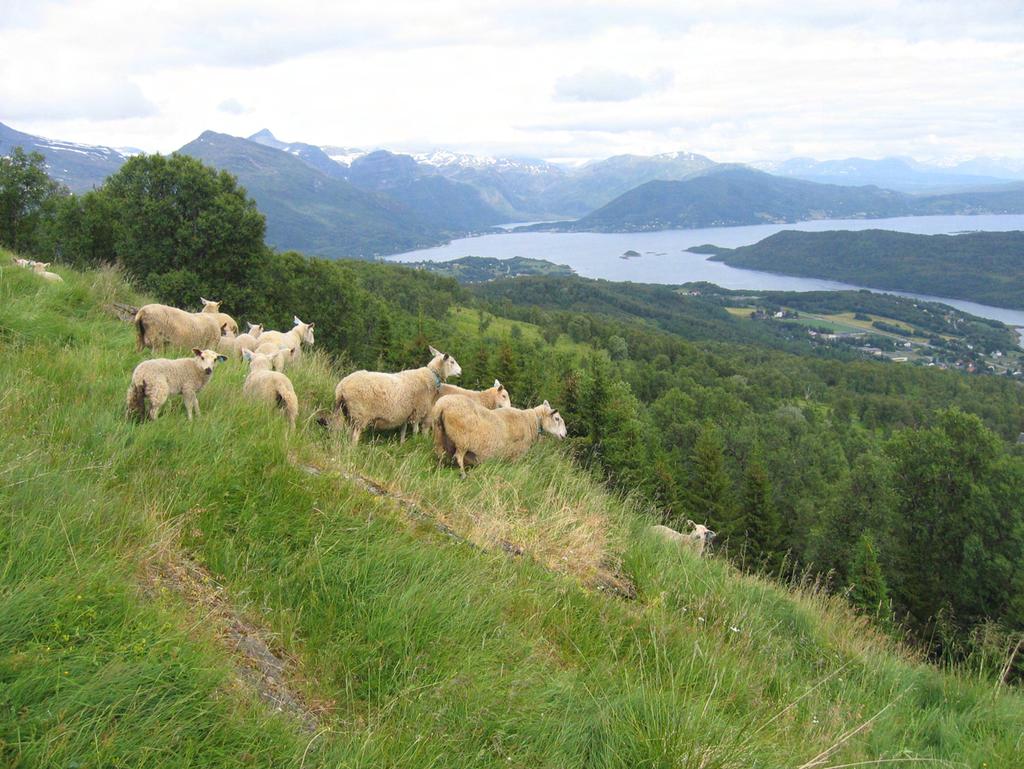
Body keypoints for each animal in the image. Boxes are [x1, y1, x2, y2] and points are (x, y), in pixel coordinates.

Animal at [333, 344, 462, 442]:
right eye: (452, 361)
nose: (461, 371)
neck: (431, 377)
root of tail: (341, 387)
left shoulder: (406, 412)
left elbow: (403, 431)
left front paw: (402, 443)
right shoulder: (417, 410)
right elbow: (415, 430)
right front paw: (415, 441)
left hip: (348, 413)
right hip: (360, 414)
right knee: (354, 436)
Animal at [428, 397, 565, 475]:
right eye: (557, 418)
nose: (565, 434)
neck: (532, 422)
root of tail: (441, 406)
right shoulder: (516, 456)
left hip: (438, 435)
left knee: (440, 454)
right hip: (462, 439)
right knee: (458, 457)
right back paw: (463, 475)